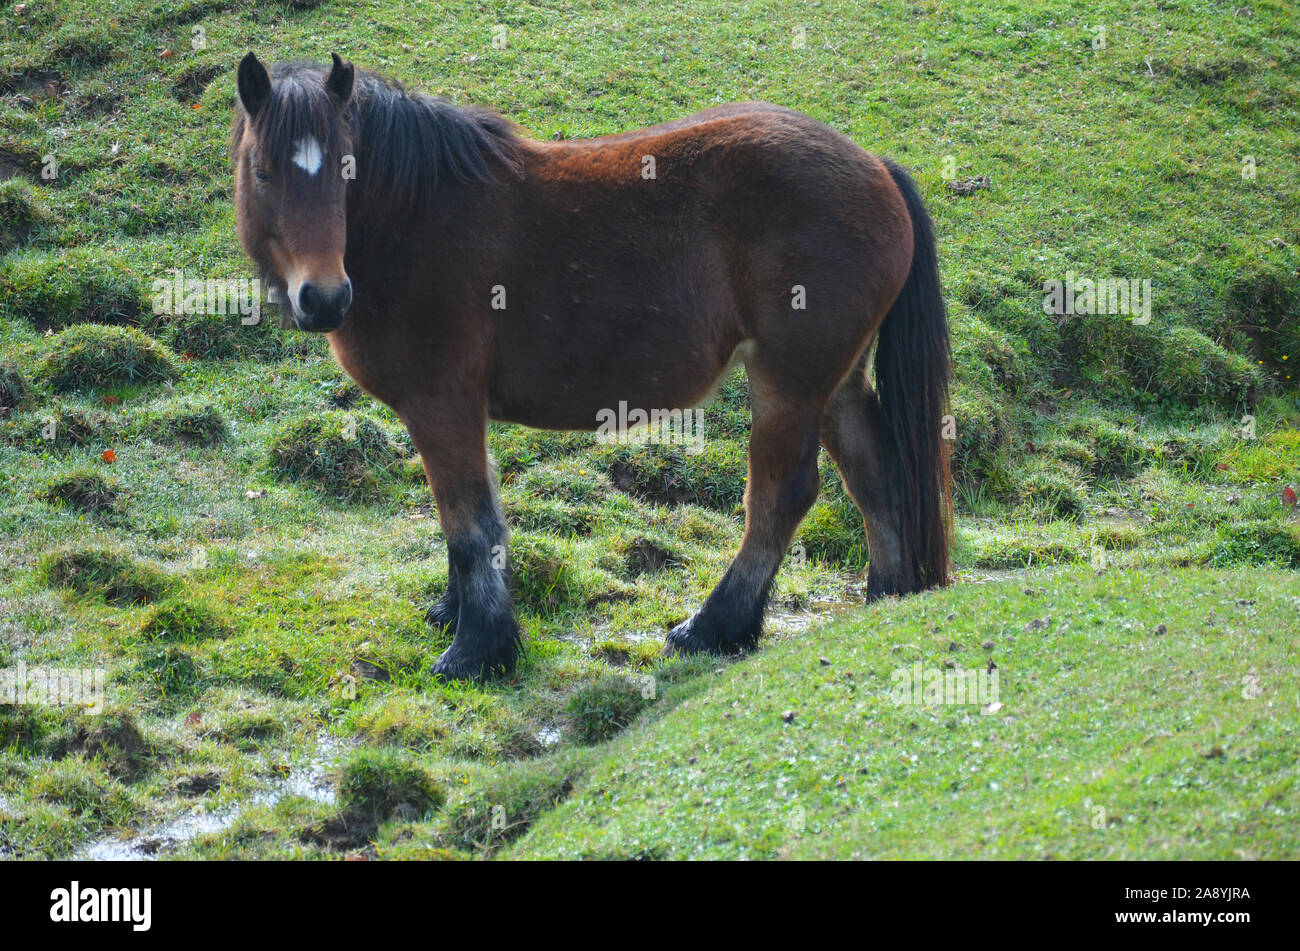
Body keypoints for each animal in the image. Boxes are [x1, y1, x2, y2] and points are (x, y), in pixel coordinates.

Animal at [230, 52, 952, 682]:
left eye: (344, 169)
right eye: (263, 172)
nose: (324, 298)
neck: (415, 216)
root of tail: (877, 168)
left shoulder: (440, 401)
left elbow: (469, 525)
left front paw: (478, 651)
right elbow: (473, 517)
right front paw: (456, 614)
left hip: (790, 385)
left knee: (782, 496)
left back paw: (714, 627)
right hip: (836, 384)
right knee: (875, 477)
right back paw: (887, 598)